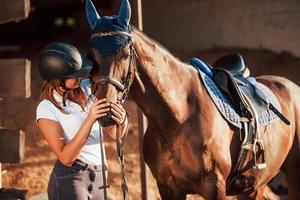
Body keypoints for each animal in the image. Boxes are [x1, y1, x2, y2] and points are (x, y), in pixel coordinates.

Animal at [84, 0, 300, 198]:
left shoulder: (215, 187)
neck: (178, 117)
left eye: (124, 52)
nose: (106, 111)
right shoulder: (167, 188)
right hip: (254, 186)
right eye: (91, 55)